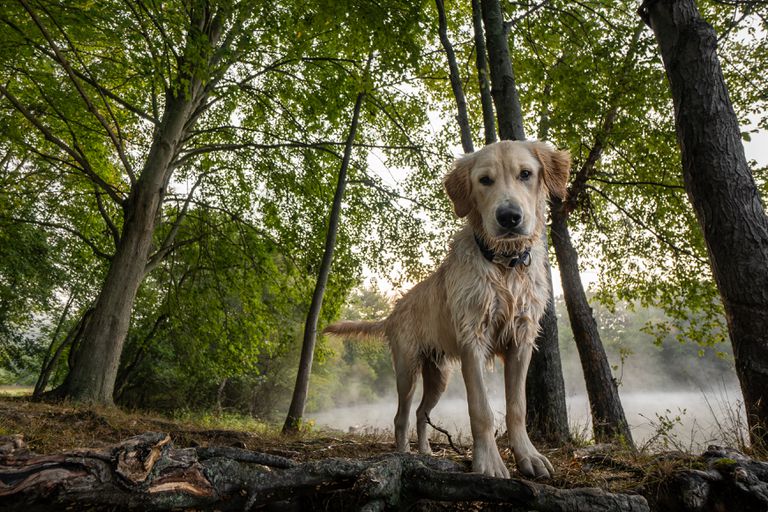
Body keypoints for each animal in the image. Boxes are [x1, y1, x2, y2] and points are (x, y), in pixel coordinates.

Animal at [324, 138, 568, 478]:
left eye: (525, 174)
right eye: (485, 180)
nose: (509, 217)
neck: (504, 266)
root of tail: (394, 311)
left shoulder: (521, 341)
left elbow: (517, 408)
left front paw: (528, 457)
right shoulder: (472, 341)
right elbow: (481, 409)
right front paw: (489, 463)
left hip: (438, 376)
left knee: (420, 414)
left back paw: (426, 452)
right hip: (407, 370)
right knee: (401, 415)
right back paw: (404, 454)